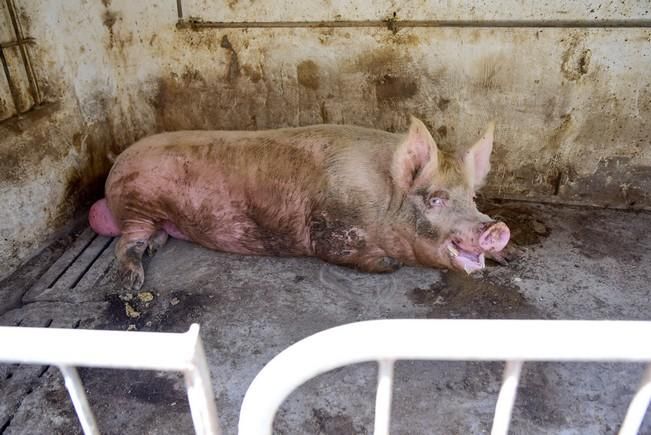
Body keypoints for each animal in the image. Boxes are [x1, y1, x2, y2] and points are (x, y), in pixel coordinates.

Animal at [89, 117, 512, 292]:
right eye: (435, 199)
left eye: (473, 198)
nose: (495, 227)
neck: (381, 199)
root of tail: (116, 163)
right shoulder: (328, 232)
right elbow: (348, 254)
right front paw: (388, 264)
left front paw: (506, 259)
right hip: (137, 201)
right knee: (125, 242)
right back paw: (129, 285)